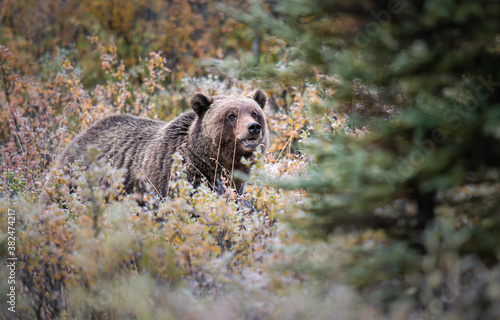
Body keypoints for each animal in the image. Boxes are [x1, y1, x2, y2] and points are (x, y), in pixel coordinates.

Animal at [42, 89, 270, 202]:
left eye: (254, 112)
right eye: (231, 115)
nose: (253, 127)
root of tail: (78, 136)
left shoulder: (235, 184)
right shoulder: (172, 176)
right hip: (74, 181)